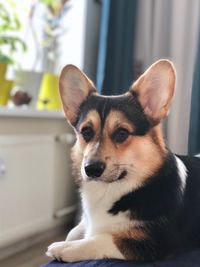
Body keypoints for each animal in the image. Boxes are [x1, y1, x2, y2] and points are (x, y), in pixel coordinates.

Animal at [46, 59, 200, 262]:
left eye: (122, 133)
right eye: (86, 131)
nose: (91, 169)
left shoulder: (154, 242)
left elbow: (100, 238)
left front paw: (64, 248)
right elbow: (74, 231)